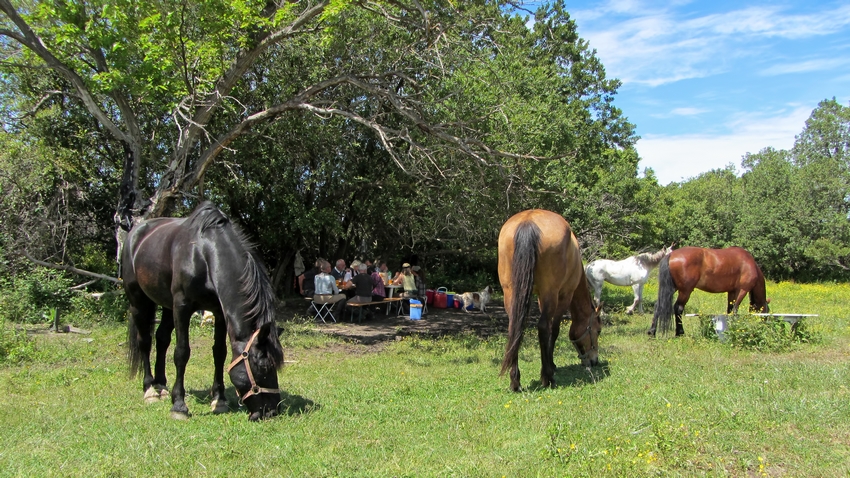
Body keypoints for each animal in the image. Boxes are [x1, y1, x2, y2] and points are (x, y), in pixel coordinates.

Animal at [122, 202, 284, 421]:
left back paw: (161, 385)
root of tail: (135, 233)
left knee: (162, 338)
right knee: (145, 342)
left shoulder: (219, 312)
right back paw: (150, 390)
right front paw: (179, 405)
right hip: (138, 301)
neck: (203, 253)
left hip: (167, 305)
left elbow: (220, 353)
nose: (272, 411)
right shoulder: (182, 307)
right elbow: (182, 353)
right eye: (264, 366)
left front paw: (219, 399)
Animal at [498, 209, 602, 392]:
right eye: (598, 331)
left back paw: (515, 381)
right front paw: (551, 365)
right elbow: (554, 330)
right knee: (543, 327)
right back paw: (547, 377)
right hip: (550, 293)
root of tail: (528, 221)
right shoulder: (564, 295)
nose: (594, 360)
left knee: (515, 328)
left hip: (510, 292)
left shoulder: (540, 297)